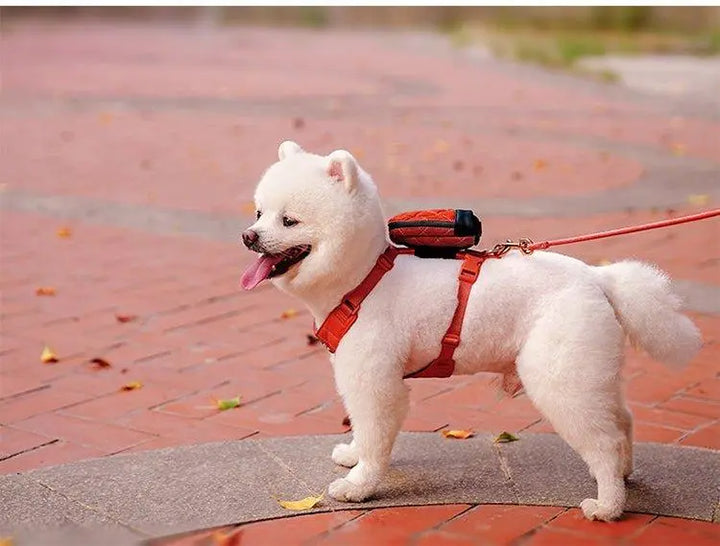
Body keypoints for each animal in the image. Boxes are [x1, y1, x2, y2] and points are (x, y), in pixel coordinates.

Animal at [239, 139, 700, 520]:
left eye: (289, 221)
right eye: (259, 213)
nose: (248, 235)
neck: (363, 277)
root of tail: (598, 279)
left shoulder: (375, 378)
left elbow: (373, 432)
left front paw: (359, 485)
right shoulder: (355, 373)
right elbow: (359, 427)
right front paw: (352, 455)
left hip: (561, 378)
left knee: (602, 441)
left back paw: (607, 505)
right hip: (593, 371)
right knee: (622, 421)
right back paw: (623, 476)